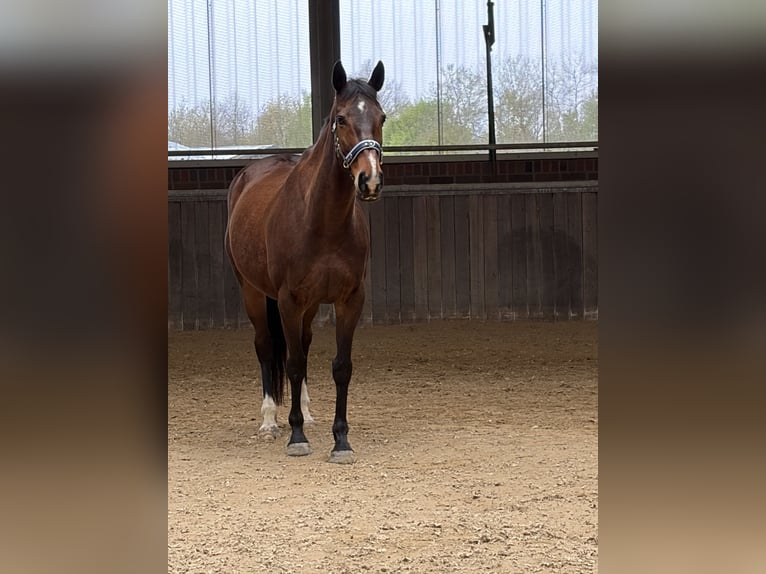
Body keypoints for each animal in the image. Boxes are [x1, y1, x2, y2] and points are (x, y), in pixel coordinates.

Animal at [225, 60, 386, 464]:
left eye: (382, 117)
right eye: (341, 119)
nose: (370, 181)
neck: (323, 220)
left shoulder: (349, 300)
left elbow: (340, 367)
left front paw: (341, 440)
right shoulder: (288, 300)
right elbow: (293, 363)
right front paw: (296, 436)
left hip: (310, 306)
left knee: (306, 343)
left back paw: (309, 413)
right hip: (252, 292)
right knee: (267, 346)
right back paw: (270, 420)